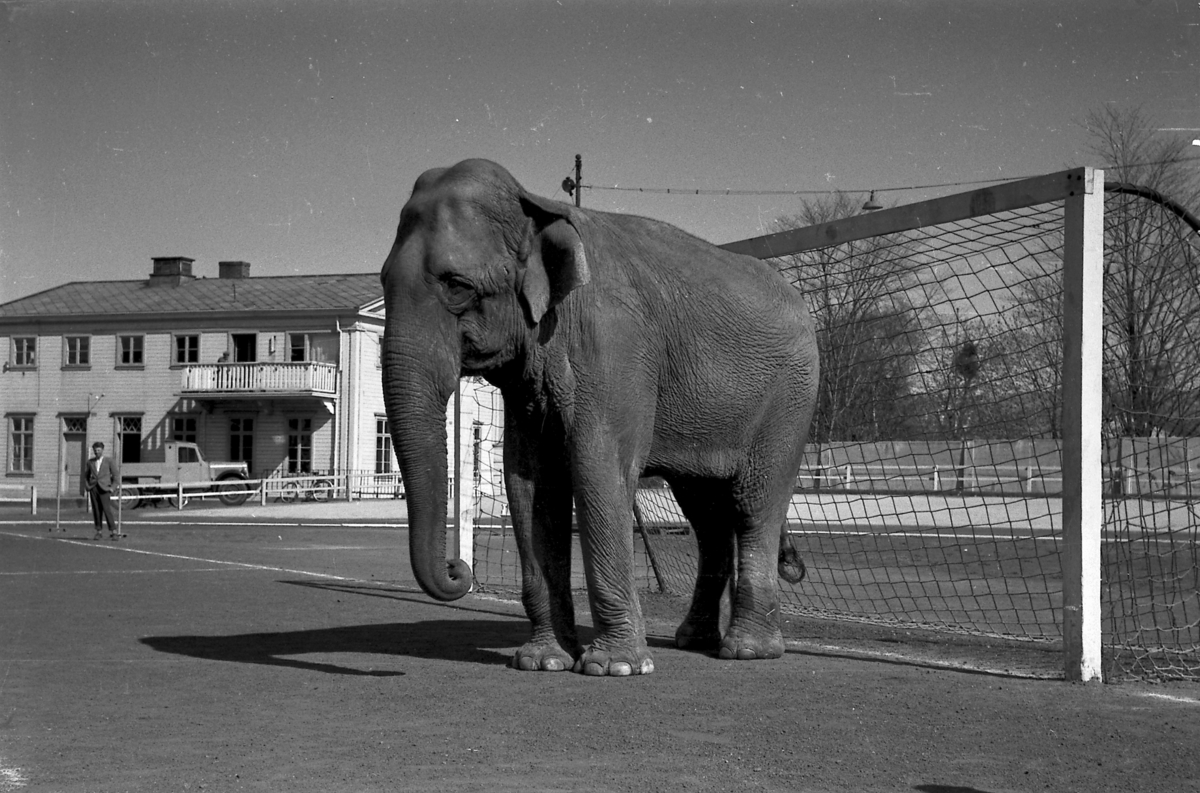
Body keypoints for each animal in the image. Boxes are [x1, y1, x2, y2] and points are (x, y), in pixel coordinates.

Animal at [379, 159, 820, 676]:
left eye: (456, 286)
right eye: (382, 282)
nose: (458, 569)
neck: (538, 206)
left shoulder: (615, 343)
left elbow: (597, 468)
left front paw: (614, 668)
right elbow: (529, 484)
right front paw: (542, 662)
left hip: (790, 398)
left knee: (755, 504)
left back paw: (747, 650)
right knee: (707, 515)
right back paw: (693, 640)